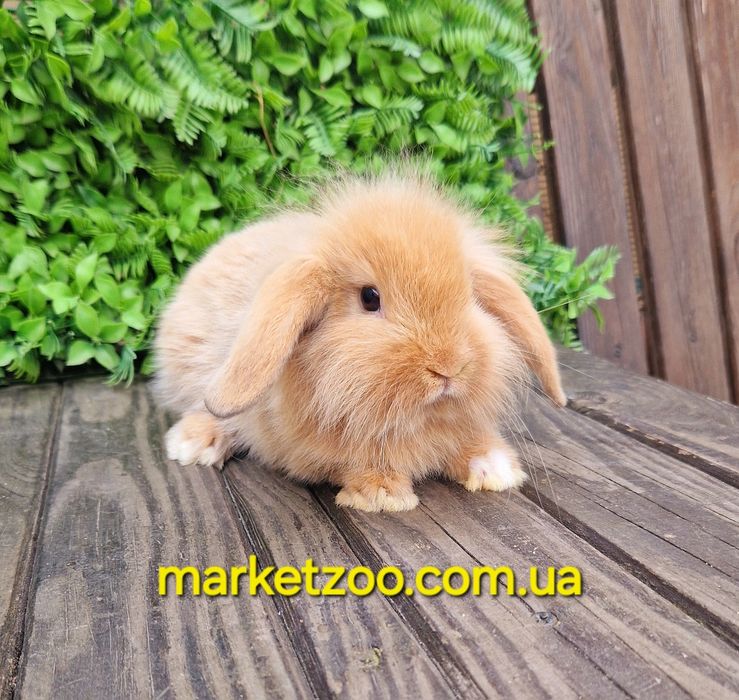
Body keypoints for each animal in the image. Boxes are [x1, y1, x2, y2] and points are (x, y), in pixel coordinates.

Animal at [153, 172, 566, 512]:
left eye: (470, 295)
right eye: (370, 298)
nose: (449, 367)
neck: (412, 419)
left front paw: (497, 467)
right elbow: (356, 462)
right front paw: (382, 495)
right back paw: (192, 445)